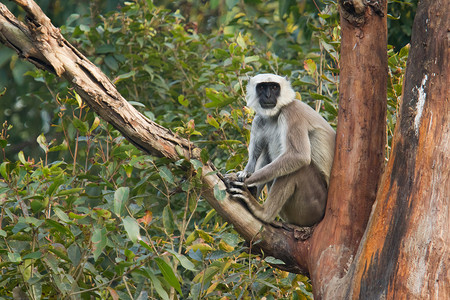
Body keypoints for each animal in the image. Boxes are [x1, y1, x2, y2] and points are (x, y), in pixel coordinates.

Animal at [229, 74, 334, 226]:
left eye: (274, 87)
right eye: (262, 87)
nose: (267, 96)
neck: (276, 113)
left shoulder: (292, 111)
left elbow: (299, 156)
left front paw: (243, 180)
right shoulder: (259, 118)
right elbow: (256, 153)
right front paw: (245, 173)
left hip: (314, 206)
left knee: (298, 168)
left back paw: (263, 213)